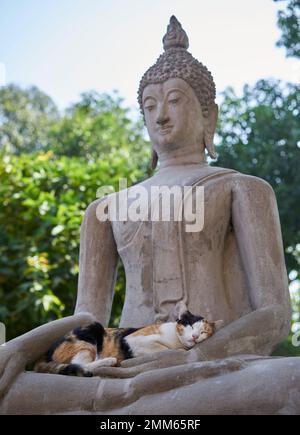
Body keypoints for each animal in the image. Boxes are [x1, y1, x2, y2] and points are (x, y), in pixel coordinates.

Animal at [35, 304, 223, 378]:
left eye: (203, 331)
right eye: (190, 326)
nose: (195, 336)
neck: (175, 339)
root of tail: (43, 356)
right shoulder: (134, 340)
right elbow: (167, 349)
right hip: (90, 333)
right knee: (82, 364)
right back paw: (109, 361)